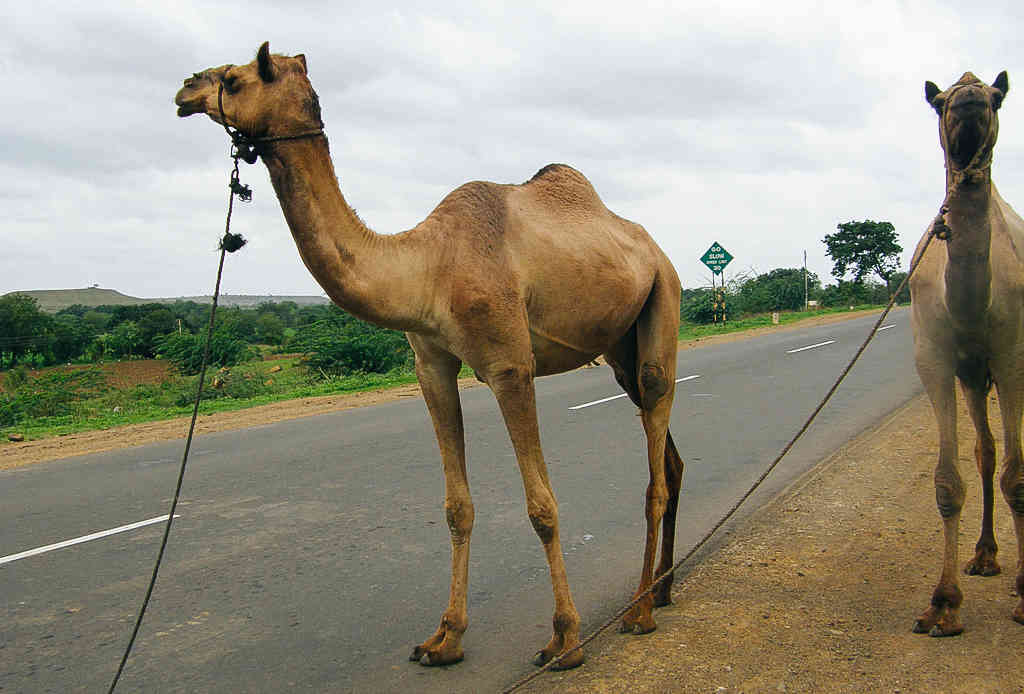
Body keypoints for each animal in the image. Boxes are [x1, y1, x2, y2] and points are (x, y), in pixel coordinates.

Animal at [176, 42, 688, 667]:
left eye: (233, 76)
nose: (185, 89)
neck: (428, 265)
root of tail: (655, 249)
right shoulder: (431, 366)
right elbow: (455, 507)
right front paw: (445, 638)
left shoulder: (510, 366)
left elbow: (542, 507)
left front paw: (565, 639)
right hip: (619, 348)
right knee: (669, 460)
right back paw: (662, 589)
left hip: (663, 298)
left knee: (655, 460)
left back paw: (639, 611)